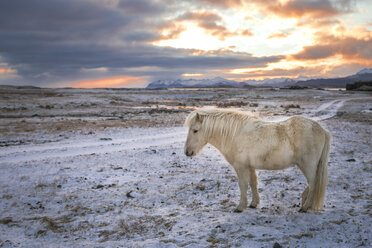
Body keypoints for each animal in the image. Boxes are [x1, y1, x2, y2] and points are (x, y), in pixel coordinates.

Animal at [184, 109, 332, 213]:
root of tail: (322, 130)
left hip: (307, 165)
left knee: (313, 183)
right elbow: (253, 183)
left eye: (195, 130)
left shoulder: (241, 167)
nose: (187, 152)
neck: (235, 134)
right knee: (312, 184)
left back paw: (305, 207)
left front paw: (240, 207)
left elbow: (243, 185)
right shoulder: (250, 166)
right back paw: (304, 201)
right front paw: (254, 204)